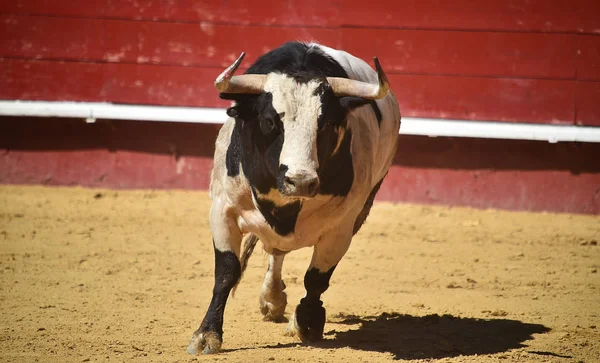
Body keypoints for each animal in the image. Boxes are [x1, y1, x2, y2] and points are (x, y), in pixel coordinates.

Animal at [188, 40, 404, 356]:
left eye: (324, 124)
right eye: (269, 121)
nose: (300, 180)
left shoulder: (341, 228)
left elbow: (316, 279)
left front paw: (307, 321)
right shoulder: (222, 209)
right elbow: (227, 271)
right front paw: (207, 334)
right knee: (276, 252)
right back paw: (272, 298)